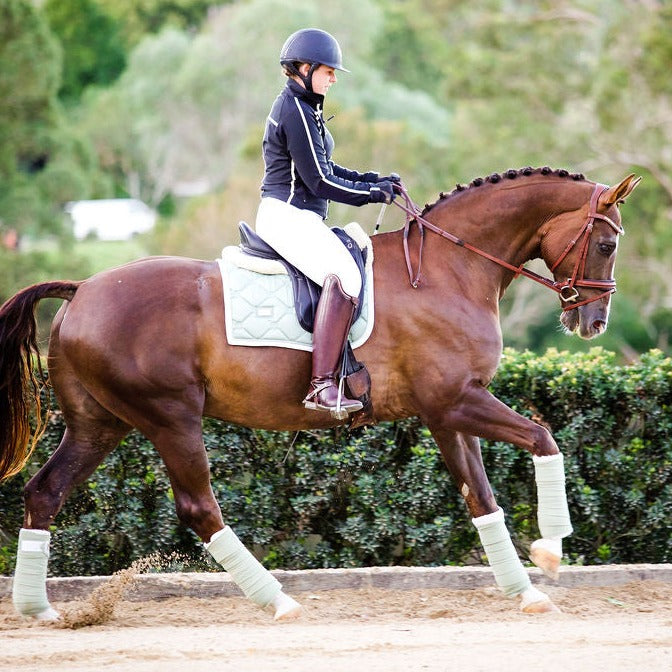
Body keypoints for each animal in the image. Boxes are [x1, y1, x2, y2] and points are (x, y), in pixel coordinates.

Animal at [0, 167, 640, 620]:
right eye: (608, 245)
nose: (595, 323)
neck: (447, 270)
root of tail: (82, 289)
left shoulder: (446, 412)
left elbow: (481, 499)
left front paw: (526, 590)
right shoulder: (458, 401)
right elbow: (544, 437)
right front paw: (552, 549)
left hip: (99, 424)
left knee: (45, 492)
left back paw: (39, 609)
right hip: (170, 418)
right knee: (199, 507)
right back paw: (278, 600)